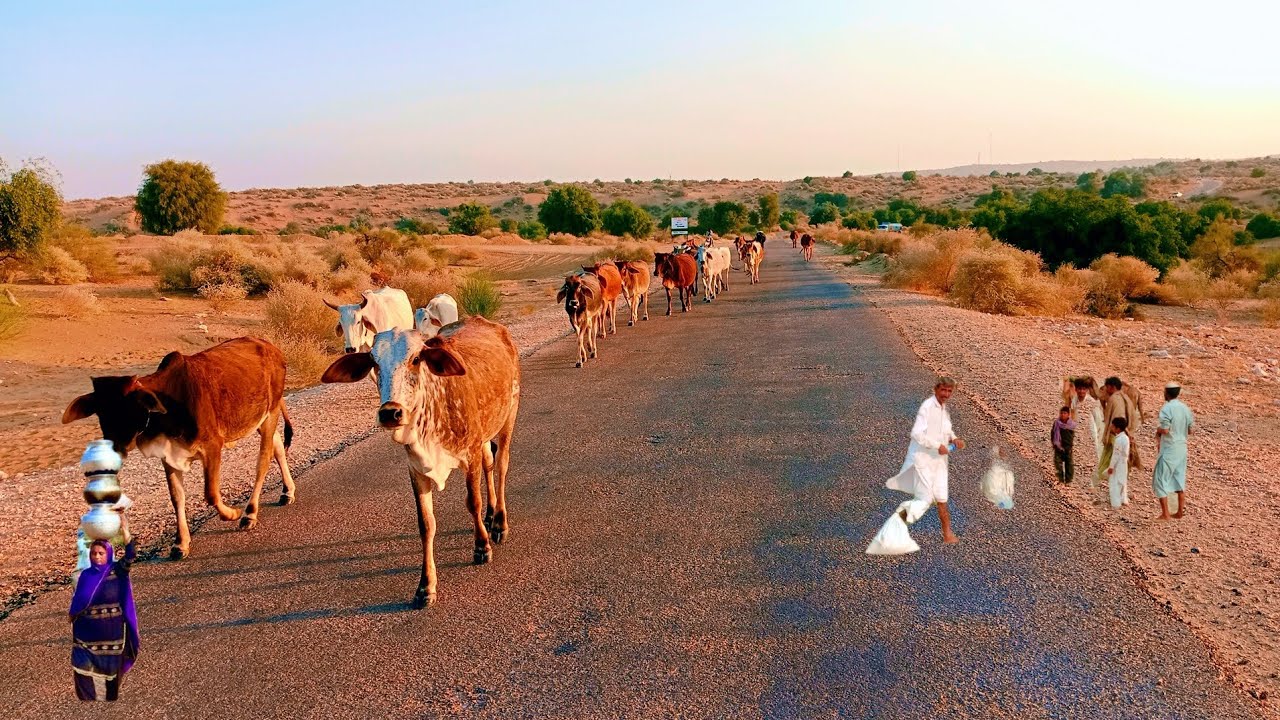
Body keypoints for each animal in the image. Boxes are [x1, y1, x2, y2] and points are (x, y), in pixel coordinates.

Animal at [62, 338, 295, 559]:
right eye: (101, 413)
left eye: (130, 408)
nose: (115, 447)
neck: (169, 407)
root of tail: (272, 347)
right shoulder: (168, 456)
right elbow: (176, 498)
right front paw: (180, 543)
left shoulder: (212, 446)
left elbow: (211, 493)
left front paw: (232, 514)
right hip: (260, 419)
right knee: (277, 447)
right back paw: (287, 491)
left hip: (270, 413)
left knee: (263, 461)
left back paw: (250, 513)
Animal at [320, 320, 520, 608]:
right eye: (374, 362)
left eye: (416, 359)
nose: (390, 413)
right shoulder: (415, 469)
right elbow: (426, 524)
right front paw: (426, 586)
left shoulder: (469, 455)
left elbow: (472, 502)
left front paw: (481, 547)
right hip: (485, 435)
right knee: (490, 463)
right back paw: (492, 513)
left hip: (507, 419)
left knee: (501, 465)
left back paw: (499, 523)